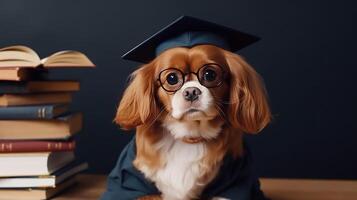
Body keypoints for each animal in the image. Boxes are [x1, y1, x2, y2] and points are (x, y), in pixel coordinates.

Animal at [114, 44, 270, 200]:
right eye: (171, 78)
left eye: (210, 74)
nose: (191, 91)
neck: (190, 136)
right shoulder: (130, 180)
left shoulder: (236, 180)